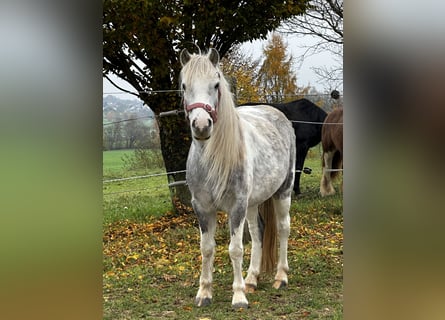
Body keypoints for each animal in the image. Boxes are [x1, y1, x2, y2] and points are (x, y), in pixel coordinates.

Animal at [179, 48, 296, 310]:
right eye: (184, 86)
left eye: (215, 84)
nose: (201, 126)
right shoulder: (202, 208)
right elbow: (207, 248)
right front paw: (204, 293)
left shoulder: (236, 206)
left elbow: (235, 249)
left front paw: (239, 296)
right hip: (252, 203)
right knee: (258, 231)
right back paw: (252, 279)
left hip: (282, 192)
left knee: (283, 228)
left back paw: (281, 277)